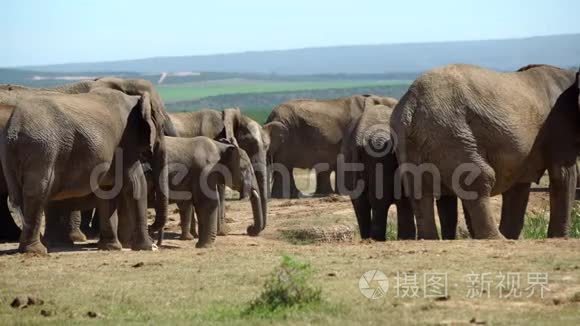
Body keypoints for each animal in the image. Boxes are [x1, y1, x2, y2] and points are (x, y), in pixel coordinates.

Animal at [392, 65, 576, 241]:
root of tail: (411, 103)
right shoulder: (561, 122)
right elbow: (563, 173)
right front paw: (560, 238)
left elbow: (519, 185)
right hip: (450, 131)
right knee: (479, 178)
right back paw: (497, 238)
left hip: (413, 138)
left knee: (418, 188)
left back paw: (430, 239)